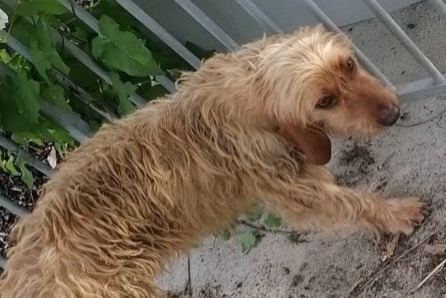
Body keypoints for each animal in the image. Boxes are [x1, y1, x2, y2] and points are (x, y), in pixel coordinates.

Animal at [0, 24, 426, 296]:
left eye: (349, 66)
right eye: (325, 101)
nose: (393, 113)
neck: (248, 92)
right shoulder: (293, 187)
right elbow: (351, 202)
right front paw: (396, 213)